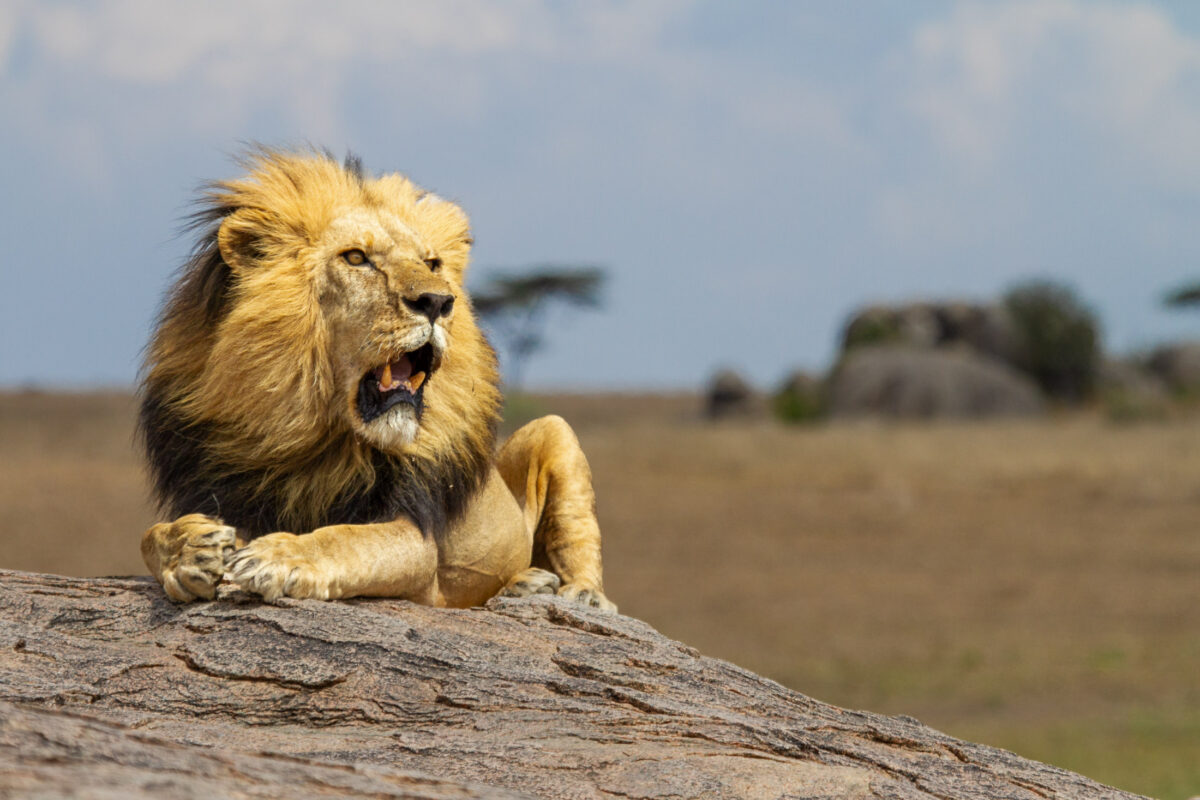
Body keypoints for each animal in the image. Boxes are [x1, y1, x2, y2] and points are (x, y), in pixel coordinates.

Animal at [138, 149, 615, 613]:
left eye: (431, 263)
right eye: (356, 257)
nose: (438, 301)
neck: (317, 436)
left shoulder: (416, 537)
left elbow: (346, 538)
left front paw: (279, 556)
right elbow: (149, 535)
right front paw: (189, 549)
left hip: (553, 431)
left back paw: (573, 593)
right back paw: (524, 585)